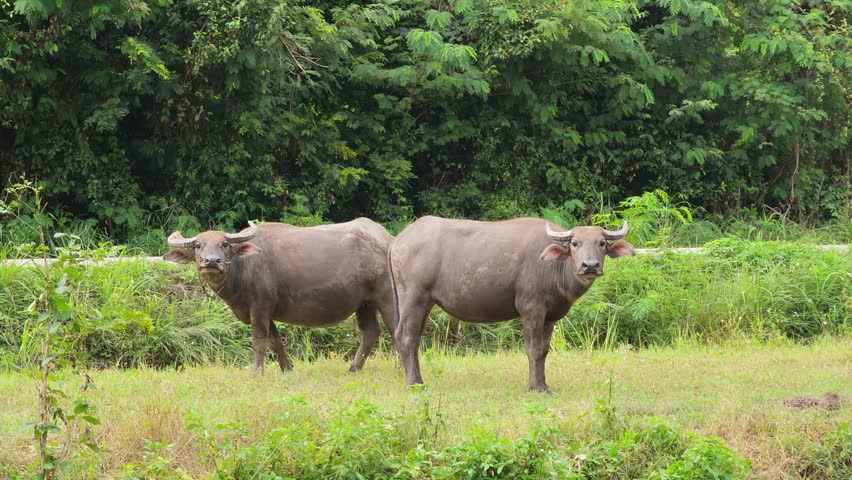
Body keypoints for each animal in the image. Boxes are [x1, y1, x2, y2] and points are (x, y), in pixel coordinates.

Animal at [164, 219, 395, 373]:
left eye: (225, 244)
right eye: (198, 245)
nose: (212, 261)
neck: (244, 269)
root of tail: (388, 240)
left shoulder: (260, 308)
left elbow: (259, 340)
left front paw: (257, 371)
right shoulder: (267, 312)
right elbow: (275, 340)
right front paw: (287, 367)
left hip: (387, 298)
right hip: (365, 303)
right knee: (370, 332)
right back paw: (354, 368)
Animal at [388, 216, 634, 392]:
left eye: (601, 243)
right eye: (575, 243)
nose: (589, 265)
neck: (554, 269)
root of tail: (397, 241)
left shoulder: (549, 317)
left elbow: (544, 350)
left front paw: (544, 384)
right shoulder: (531, 310)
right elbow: (533, 349)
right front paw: (535, 387)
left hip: (426, 303)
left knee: (413, 339)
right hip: (413, 298)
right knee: (405, 337)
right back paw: (414, 384)